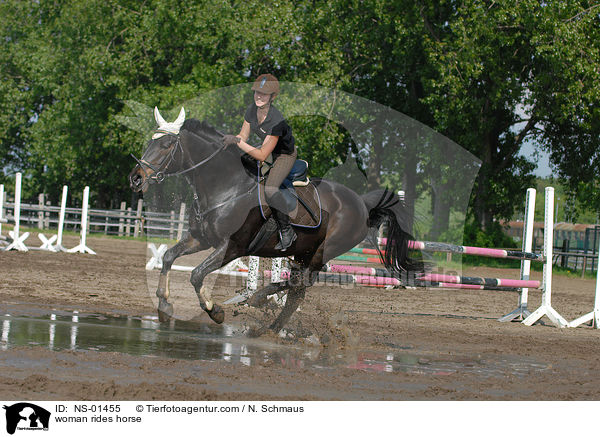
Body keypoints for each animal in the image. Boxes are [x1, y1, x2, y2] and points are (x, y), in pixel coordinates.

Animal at [129, 108, 424, 330]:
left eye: (166, 144)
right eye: (151, 141)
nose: (136, 178)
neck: (225, 186)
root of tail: (361, 203)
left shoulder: (232, 247)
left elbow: (197, 275)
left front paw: (215, 311)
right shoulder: (200, 239)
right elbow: (169, 257)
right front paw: (164, 305)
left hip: (321, 252)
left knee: (300, 285)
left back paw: (262, 308)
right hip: (304, 251)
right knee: (297, 287)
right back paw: (267, 318)